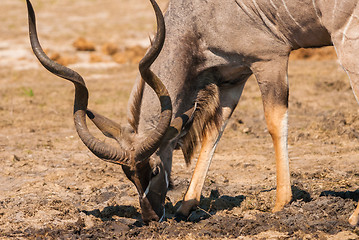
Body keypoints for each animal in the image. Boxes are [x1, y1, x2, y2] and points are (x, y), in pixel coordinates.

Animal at [26, 0, 359, 225]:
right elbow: (213, 133)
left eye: (155, 170)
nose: (152, 217)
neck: (200, 17)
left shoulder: (269, 59)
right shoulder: (232, 79)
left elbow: (274, 122)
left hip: (346, 48)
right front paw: (187, 205)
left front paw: (280, 202)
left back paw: (354, 215)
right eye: (128, 174)